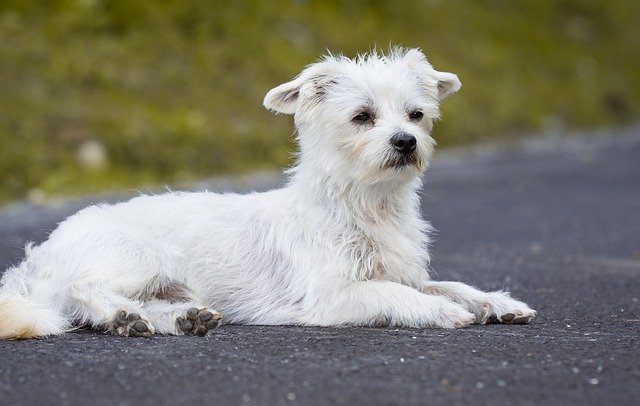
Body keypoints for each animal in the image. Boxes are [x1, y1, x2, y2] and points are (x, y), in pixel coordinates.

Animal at [0, 48, 536, 340]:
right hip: (141, 256)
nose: (406, 142)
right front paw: (443, 312)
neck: (364, 205)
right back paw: (121, 315)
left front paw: (494, 301)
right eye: (362, 116)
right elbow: (395, 294)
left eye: (417, 115)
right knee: (81, 290)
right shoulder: (332, 295)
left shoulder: (404, 272)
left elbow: (448, 284)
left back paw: (175, 319)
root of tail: (39, 257)